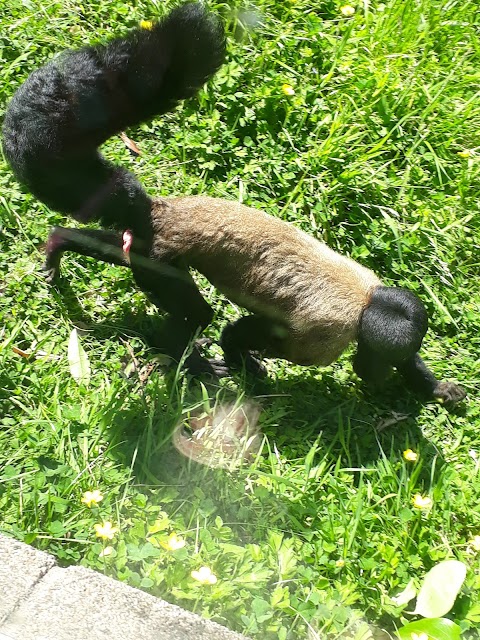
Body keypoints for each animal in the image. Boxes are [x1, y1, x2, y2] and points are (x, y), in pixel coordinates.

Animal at [0, 3, 464, 404]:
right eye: (382, 360)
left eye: (396, 359)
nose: (381, 375)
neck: (369, 306)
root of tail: (162, 211)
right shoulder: (321, 339)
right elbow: (245, 332)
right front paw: (244, 366)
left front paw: (433, 386)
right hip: (162, 259)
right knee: (197, 314)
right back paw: (193, 360)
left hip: (148, 247)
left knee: (123, 249)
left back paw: (60, 242)